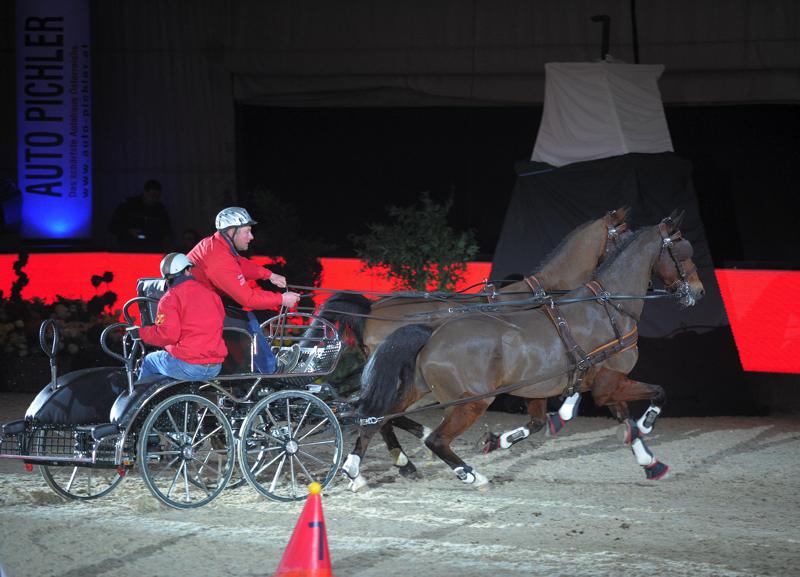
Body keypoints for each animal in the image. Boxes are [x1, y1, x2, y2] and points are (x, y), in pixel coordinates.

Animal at [340, 214, 704, 488]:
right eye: (682, 250)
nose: (698, 292)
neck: (606, 308)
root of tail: (430, 332)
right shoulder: (609, 382)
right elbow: (654, 396)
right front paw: (647, 425)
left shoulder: (577, 384)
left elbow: (552, 421)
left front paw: (650, 463)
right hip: (471, 401)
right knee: (432, 438)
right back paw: (466, 473)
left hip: (413, 388)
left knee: (376, 419)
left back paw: (357, 470)